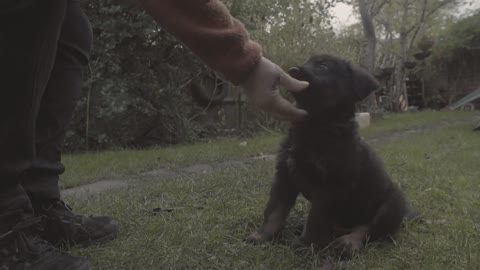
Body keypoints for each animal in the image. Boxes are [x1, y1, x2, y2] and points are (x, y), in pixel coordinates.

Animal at [248, 54, 408, 253]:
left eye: (323, 66)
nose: (292, 70)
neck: (315, 125)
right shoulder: (284, 176)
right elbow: (274, 210)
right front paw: (263, 235)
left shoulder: (330, 185)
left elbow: (316, 217)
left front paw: (307, 243)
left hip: (392, 204)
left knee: (369, 229)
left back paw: (348, 242)